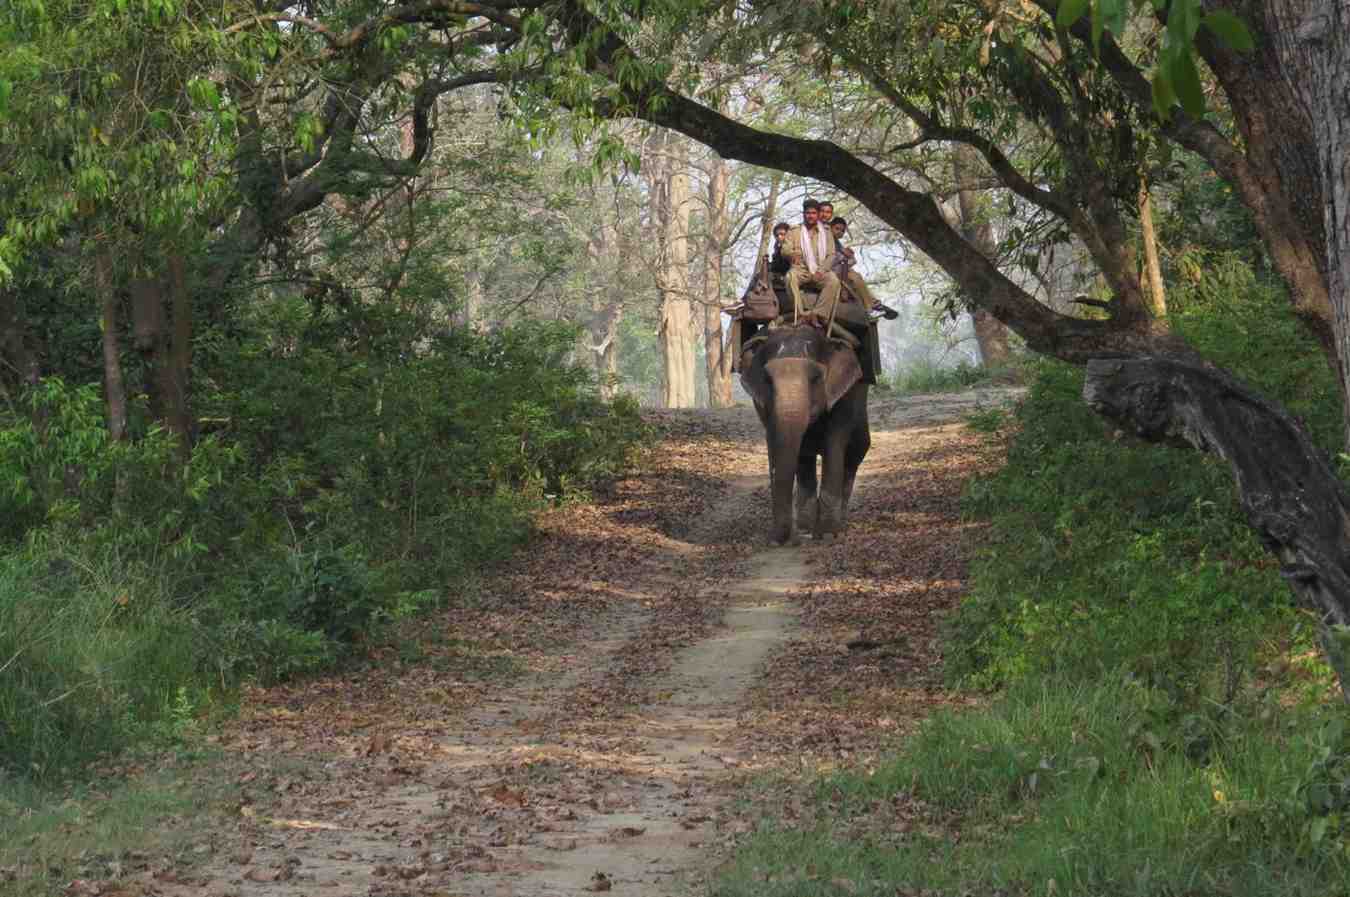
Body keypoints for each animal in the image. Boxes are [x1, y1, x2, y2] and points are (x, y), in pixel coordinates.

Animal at [740, 324, 870, 545]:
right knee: (805, 458)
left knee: (855, 453)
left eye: (816, 378)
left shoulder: (845, 395)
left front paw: (828, 535)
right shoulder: (761, 404)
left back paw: (838, 525)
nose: (777, 540)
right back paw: (806, 527)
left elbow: (834, 442)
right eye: (767, 380)